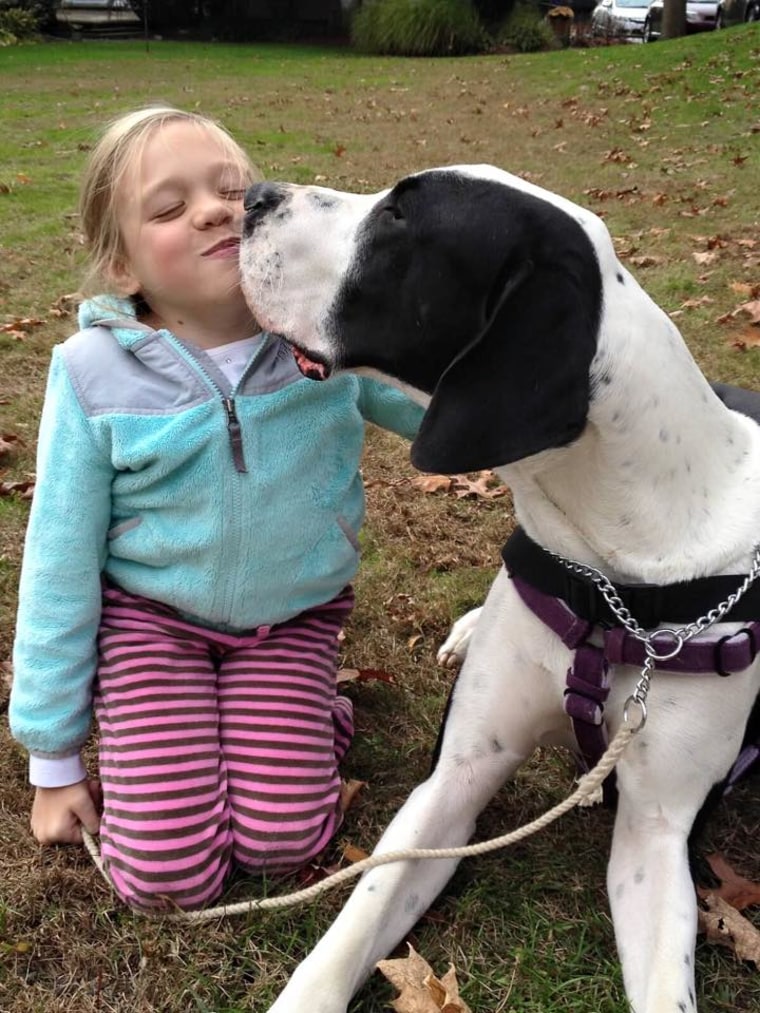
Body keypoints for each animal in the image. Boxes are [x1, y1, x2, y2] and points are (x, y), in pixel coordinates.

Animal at [241, 166, 760, 1013]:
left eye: (399, 218)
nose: (253, 195)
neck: (614, 577)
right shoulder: (452, 780)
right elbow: (354, 923)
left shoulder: (656, 833)